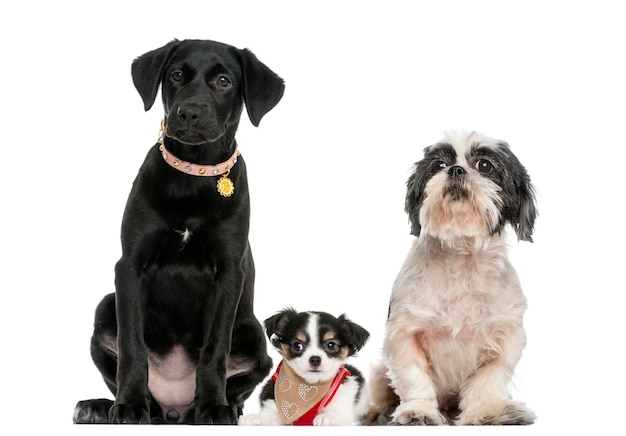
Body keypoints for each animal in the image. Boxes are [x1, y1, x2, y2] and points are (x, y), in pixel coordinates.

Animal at [73, 40, 286, 422]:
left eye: (223, 80)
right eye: (175, 75)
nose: (188, 113)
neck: (192, 174)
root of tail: (175, 407)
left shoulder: (229, 273)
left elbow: (215, 349)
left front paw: (213, 406)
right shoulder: (129, 266)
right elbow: (132, 344)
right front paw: (129, 405)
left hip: (253, 333)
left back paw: (222, 408)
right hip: (105, 306)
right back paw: (105, 406)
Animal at [236, 306, 368, 426]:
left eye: (331, 345)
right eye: (297, 345)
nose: (315, 359)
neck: (310, 385)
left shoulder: (343, 406)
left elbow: (338, 413)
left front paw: (327, 417)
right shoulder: (274, 402)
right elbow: (268, 415)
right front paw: (255, 418)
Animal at [366, 130, 536, 426]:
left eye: (484, 165)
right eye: (439, 165)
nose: (456, 169)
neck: (461, 258)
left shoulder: (507, 336)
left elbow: (489, 379)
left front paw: (487, 412)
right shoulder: (404, 334)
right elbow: (414, 377)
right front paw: (419, 411)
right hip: (378, 374)